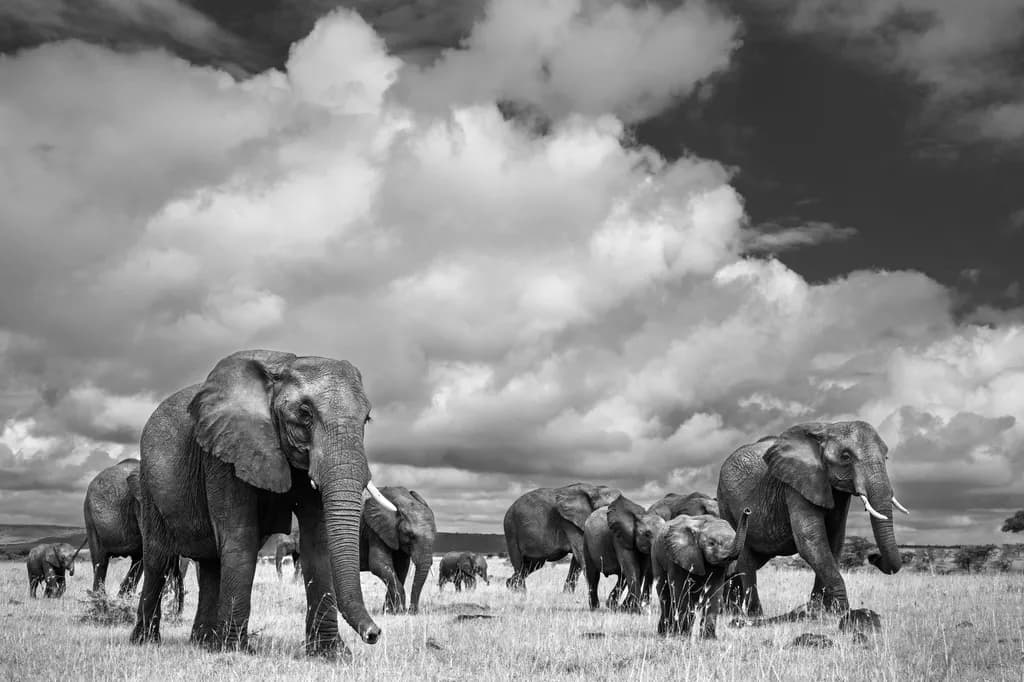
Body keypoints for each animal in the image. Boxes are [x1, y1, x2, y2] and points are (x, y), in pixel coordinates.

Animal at [84, 459, 187, 614]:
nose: (177, 613)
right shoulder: (142, 505)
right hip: (90, 518)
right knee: (100, 562)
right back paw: (101, 605)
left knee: (137, 559)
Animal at [128, 349, 399, 659]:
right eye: (304, 414)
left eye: (367, 419)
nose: (374, 634)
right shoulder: (226, 450)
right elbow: (241, 538)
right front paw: (236, 650)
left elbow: (318, 544)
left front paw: (331, 654)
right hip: (149, 483)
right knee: (158, 559)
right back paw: (146, 642)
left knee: (210, 563)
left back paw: (204, 644)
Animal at [583, 491, 719, 612]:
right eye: (647, 534)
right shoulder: (619, 537)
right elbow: (633, 568)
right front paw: (636, 610)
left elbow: (639, 571)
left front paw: (629, 609)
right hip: (586, 541)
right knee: (593, 575)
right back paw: (595, 608)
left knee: (622, 576)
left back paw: (612, 606)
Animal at [651, 509, 751, 638]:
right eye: (712, 543)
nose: (747, 511)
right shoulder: (677, 556)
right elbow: (680, 591)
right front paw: (683, 635)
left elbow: (713, 592)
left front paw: (709, 638)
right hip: (656, 557)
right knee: (665, 595)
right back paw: (665, 633)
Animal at [717, 421, 907, 619]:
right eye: (846, 457)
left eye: (886, 457)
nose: (873, 556)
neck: (827, 429)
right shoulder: (796, 484)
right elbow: (811, 542)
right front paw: (843, 612)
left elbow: (834, 542)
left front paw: (819, 609)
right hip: (726, 502)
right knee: (744, 558)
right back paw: (753, 614)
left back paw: (732, 610)